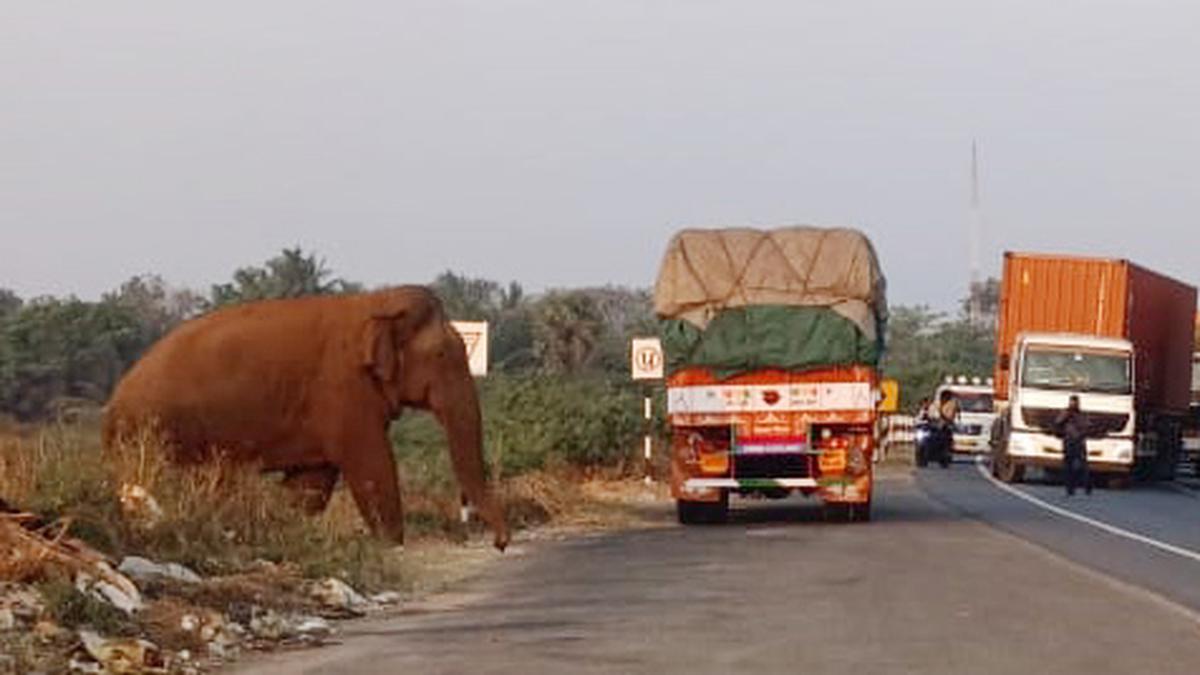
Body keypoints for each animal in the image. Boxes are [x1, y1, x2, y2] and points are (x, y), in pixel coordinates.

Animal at [104, 281, 511, 550]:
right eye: (443, 355)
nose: (500, 543)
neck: (374, 303)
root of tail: (112, 404)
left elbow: (311, 482)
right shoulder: (344, 389)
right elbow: (372, 467)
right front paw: (391, 548)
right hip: (155, 432)